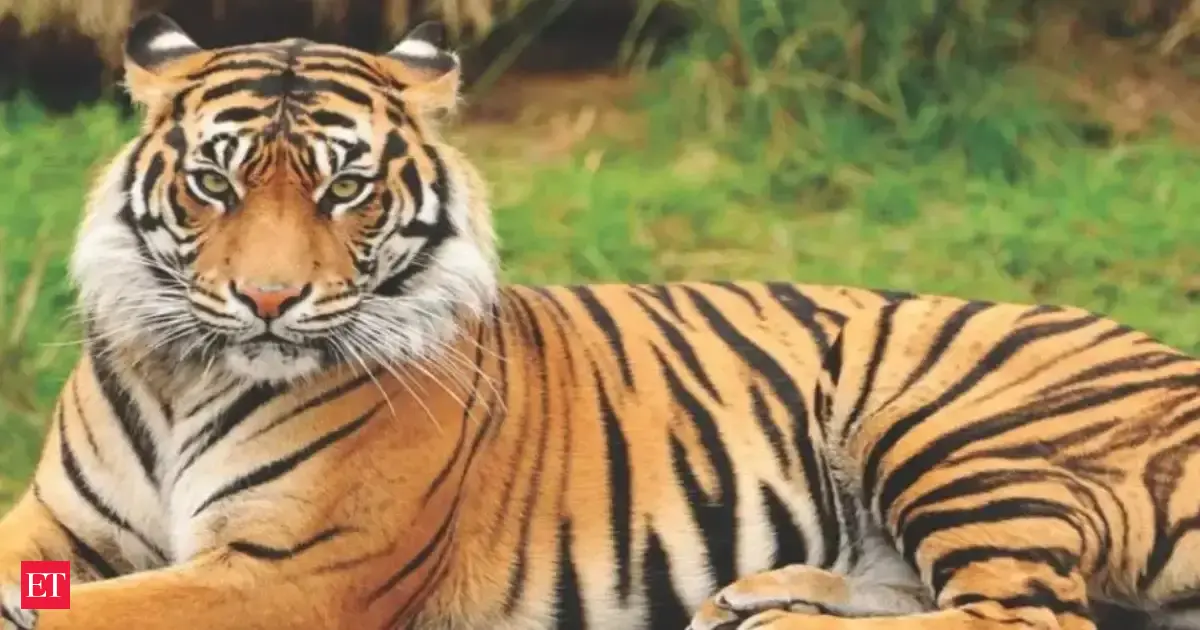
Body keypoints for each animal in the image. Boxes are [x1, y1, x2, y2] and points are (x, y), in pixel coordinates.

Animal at [0, 10, 1196, 630]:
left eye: (346, 190)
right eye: (217, 182)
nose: (268, 300)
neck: (186, 371)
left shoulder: (290, 571)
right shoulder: (54, 525)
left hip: (944, 417)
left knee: (1026, 614)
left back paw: (778, 618)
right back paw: (758, 601)